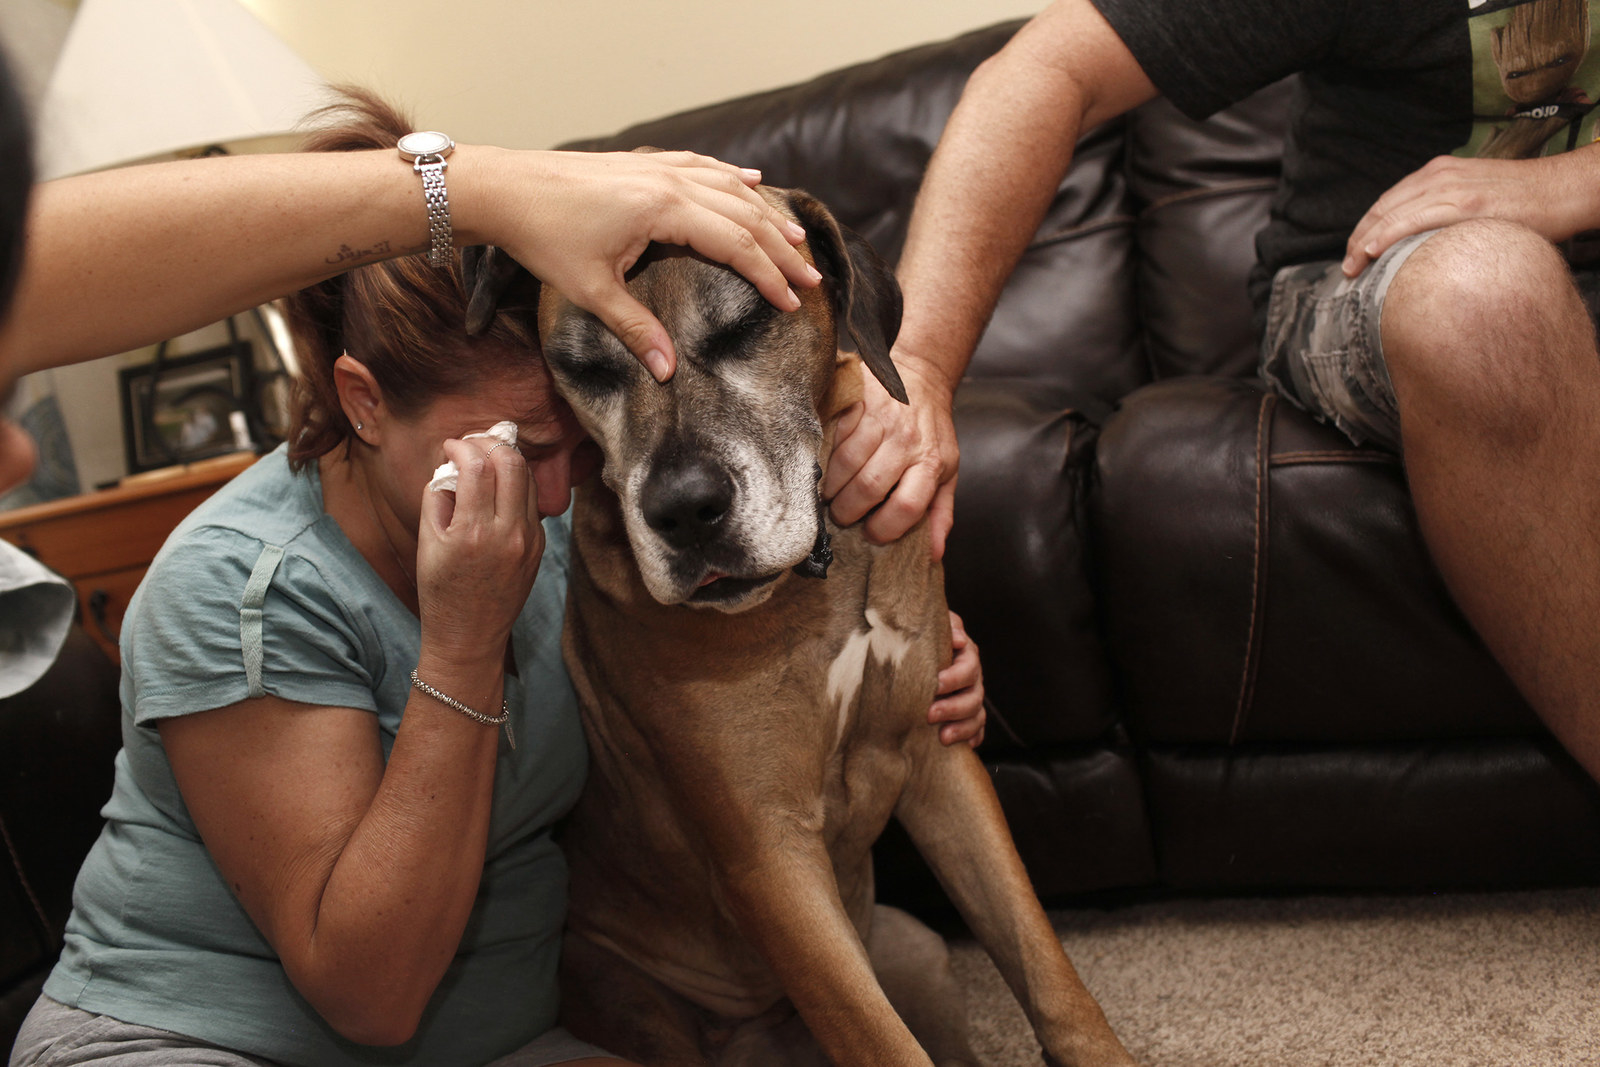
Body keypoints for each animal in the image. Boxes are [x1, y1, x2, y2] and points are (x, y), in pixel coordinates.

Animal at [464, 185, 1139, 1067]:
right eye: (586, 369)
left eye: (747, 324)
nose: (684, 510)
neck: (817, 583)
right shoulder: (769, 853)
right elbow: (881, 1040)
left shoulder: (940, 763)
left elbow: (1045, 965)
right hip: (631, 1001)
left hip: (916, 953)